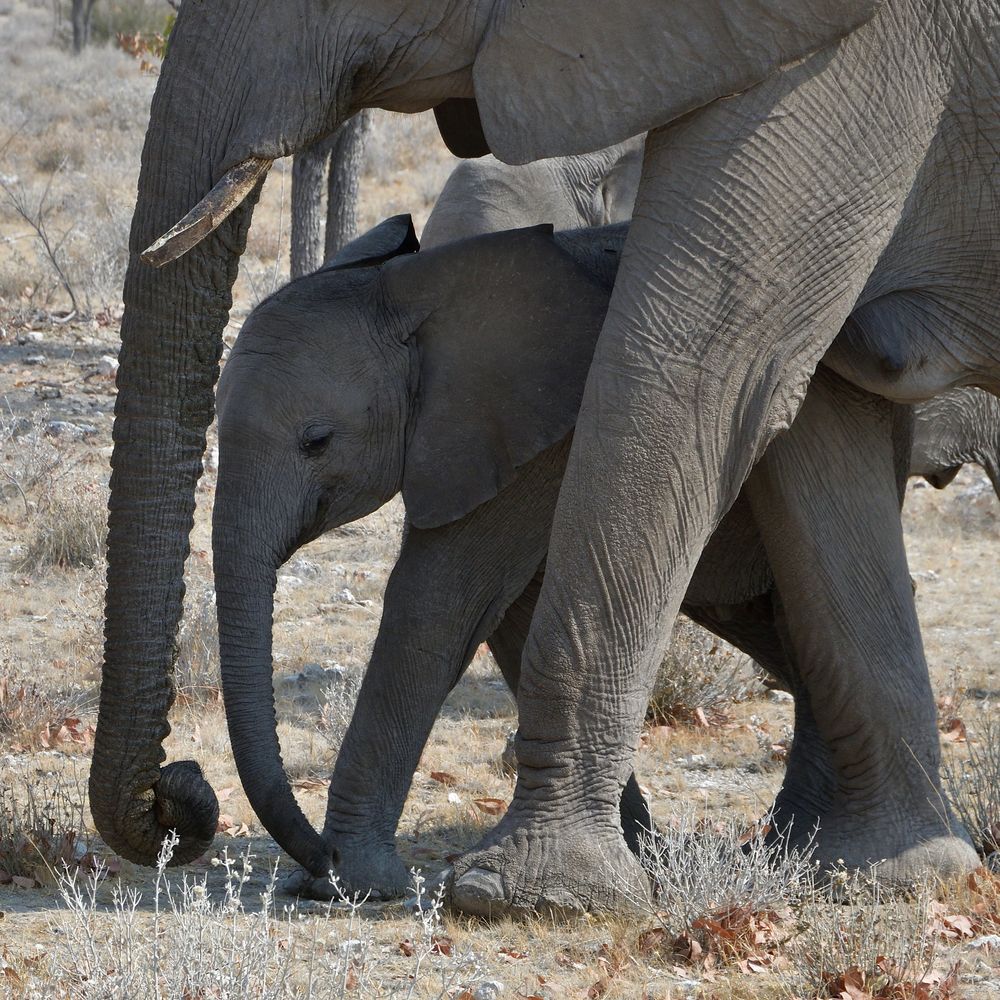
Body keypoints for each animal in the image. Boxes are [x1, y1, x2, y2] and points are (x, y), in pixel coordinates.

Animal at [213, 215, 976, 904]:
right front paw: (638, 851)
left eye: (317, 440)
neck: (414, 290)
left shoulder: (540, 431)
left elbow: (442, 600)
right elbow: (510, 613)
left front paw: (352, 886)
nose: (315, 854)